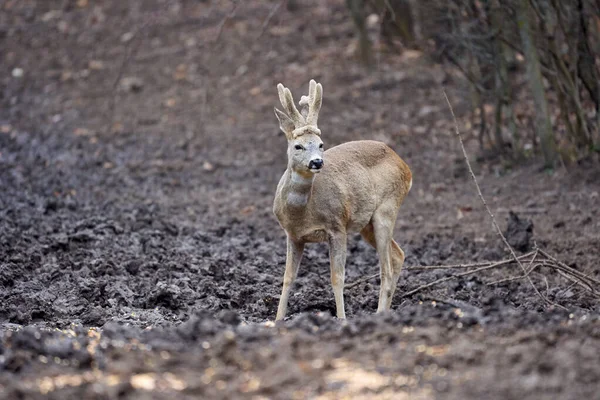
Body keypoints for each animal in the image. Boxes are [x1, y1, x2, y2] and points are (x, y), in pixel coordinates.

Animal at [274, 79, 410, 320]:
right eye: (298, 146)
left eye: (321, 144)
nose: (317, 162)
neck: (302, 214)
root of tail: (406, 167)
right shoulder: (293, 235)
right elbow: (288, 278)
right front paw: (277, 319)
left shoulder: (337, 226)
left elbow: (337, 278)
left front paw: (342, 319)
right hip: (366, 224)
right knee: (398, 255)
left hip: (387, 207)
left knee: (386, 267)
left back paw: (379, 315)